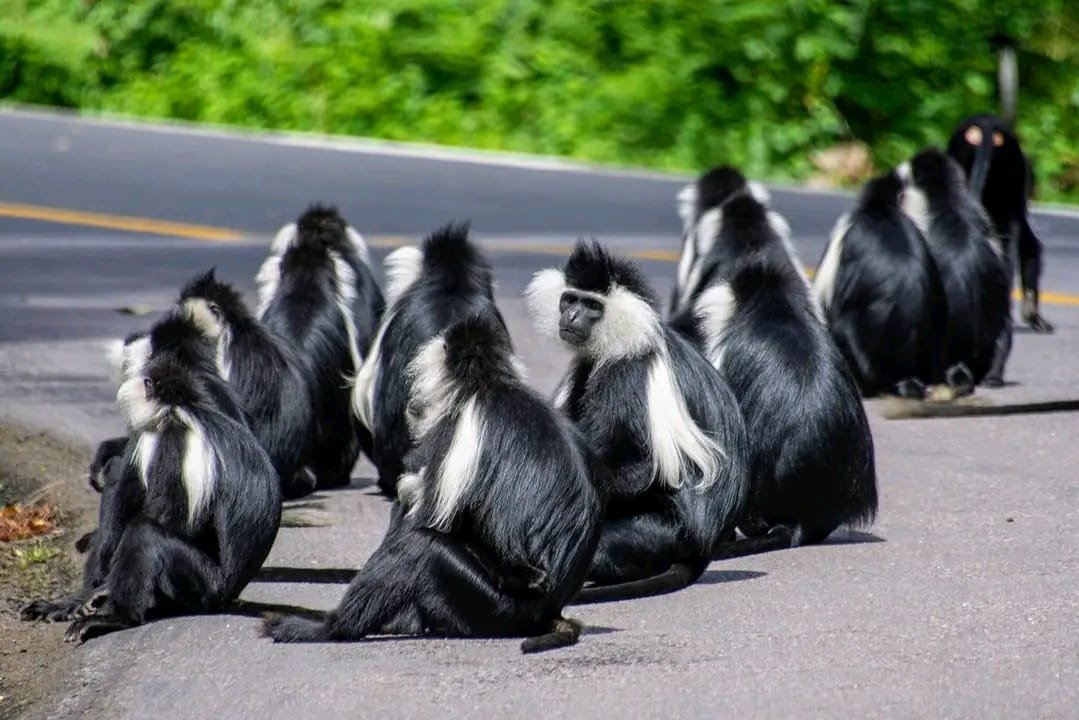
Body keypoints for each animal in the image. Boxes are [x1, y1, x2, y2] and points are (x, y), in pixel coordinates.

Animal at [23, 355, 281, 643]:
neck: (181, 410)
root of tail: (230, 593)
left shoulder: (178, 440)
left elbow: (178, 522)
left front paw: (101, 594)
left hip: (205, 585)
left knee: (145, 530)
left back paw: (118, 616)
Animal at [262, 313, 603, 653]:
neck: (489, 383)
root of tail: (548, 611)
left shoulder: (457, 428)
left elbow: (428, 521)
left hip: (490, 604)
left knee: (420, 547)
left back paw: (327, 628)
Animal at [525, 240, 749, 601]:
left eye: (591, 306)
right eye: (569, 300)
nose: (570, 316)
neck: (628, 335)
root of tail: (704, 548)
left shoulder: (626, 374)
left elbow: (637, 466)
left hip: (658, 533)